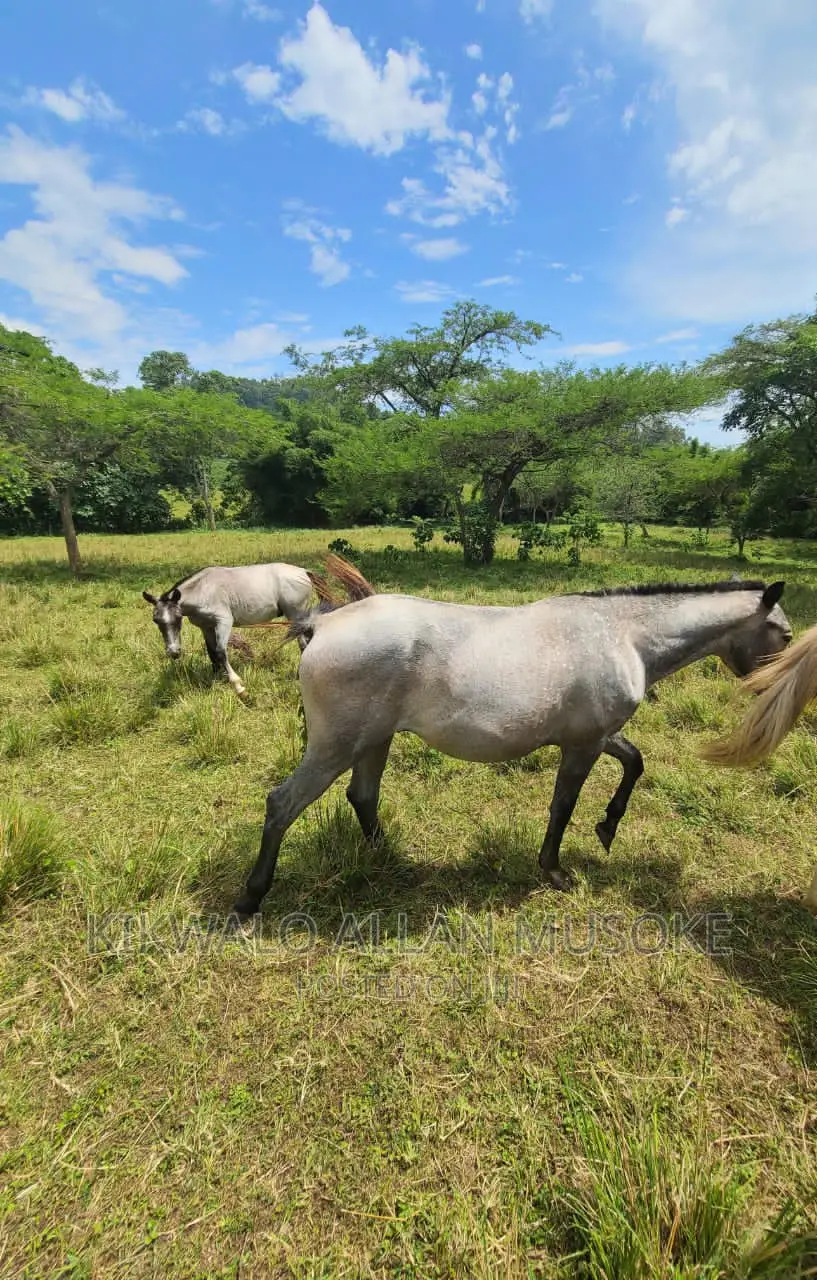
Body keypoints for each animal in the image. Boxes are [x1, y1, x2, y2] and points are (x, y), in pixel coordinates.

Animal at [142, 562, 328, 697]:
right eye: (156, 620)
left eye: (178, 618)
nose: (173, 652)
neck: (204, 590)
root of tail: (304, 571)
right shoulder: (206, 627)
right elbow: (212, 653)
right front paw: (217, 680)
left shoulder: (224, 622)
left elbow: (220, 652)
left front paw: (239, 687)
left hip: (296, 616)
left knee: (303, 644)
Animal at [231, 557, 791, 917]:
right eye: (785, 633)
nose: (774, 689)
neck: (623, 635)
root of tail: (321, 627)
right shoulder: (583, 745)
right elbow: (563, 805)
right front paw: (555, 871)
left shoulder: (593, 735)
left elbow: (635, 761)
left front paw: (608, 827)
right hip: (336, 747)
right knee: (283, 804)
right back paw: (250, 900)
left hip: (373, 741)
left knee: (362, 796)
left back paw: (395, 863)